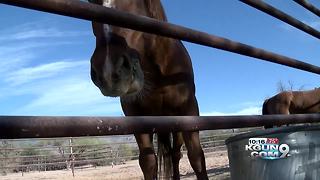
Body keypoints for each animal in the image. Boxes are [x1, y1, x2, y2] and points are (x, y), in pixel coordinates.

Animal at [87, 0, 209, 179]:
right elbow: (148, 162)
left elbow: (196, 156)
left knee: (176, 154)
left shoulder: (189, 109)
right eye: (89, 2)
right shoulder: (136, 115)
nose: (108, 71)